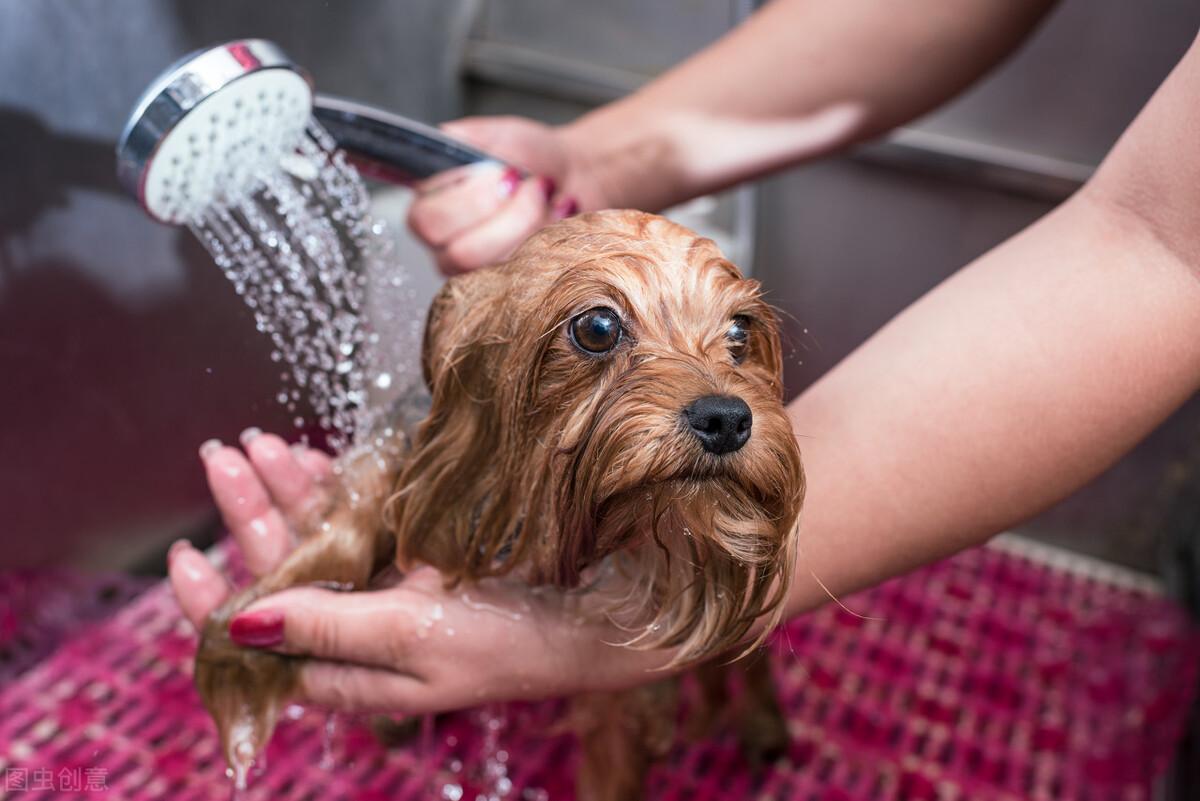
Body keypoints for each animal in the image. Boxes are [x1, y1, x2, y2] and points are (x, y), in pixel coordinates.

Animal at [194, 209, 806, 796]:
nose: (726, 418)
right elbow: (338, 542)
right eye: (598, 327)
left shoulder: (621, 692)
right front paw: (240, 645)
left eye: (740, 332)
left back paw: (763, 726)